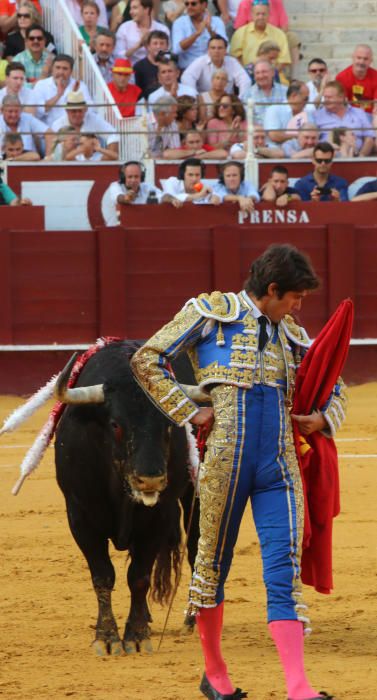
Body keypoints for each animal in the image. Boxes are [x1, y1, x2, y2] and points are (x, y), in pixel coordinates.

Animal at [54, 340, 201, 656]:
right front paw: (107, 637)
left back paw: (192, 619)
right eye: (115, 424)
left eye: (169, 424)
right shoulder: (80, 517)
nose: (151, 479)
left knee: (196, 547)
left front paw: (135, 636)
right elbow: (102, 575)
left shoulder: (159, 516)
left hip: (194, 491)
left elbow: (139, 576)